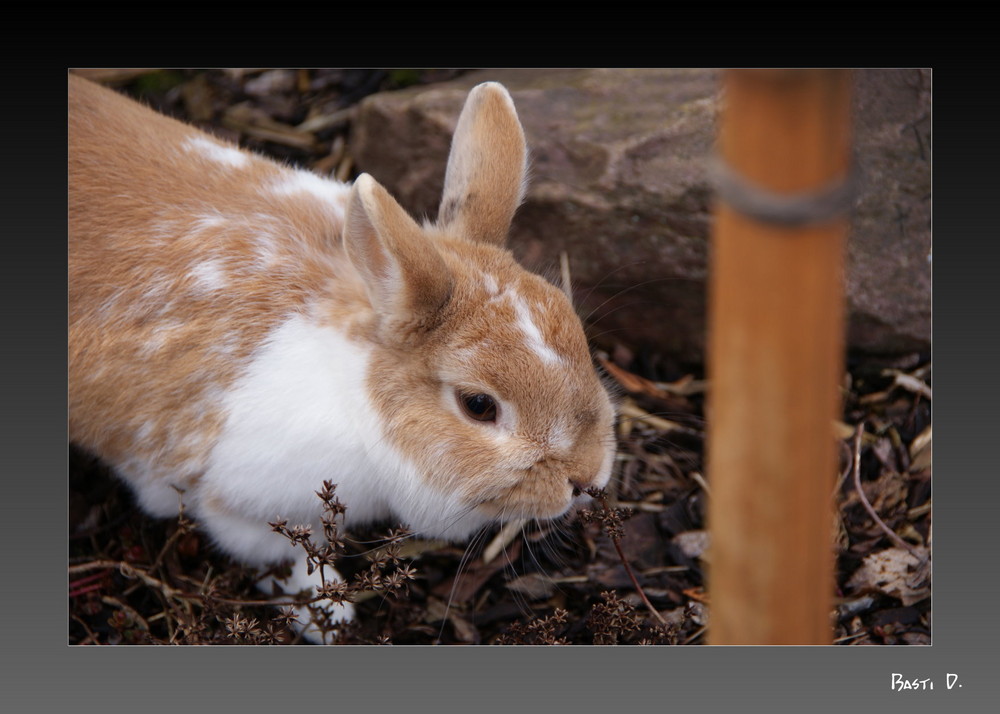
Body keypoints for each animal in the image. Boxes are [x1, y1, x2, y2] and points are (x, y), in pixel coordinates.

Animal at [68, 75, 616, 644]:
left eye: (576, 328)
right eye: (479, 405)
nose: (588, 478)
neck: (355, 397)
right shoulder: (239, 506)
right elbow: (286, 558)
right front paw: (333, 618)